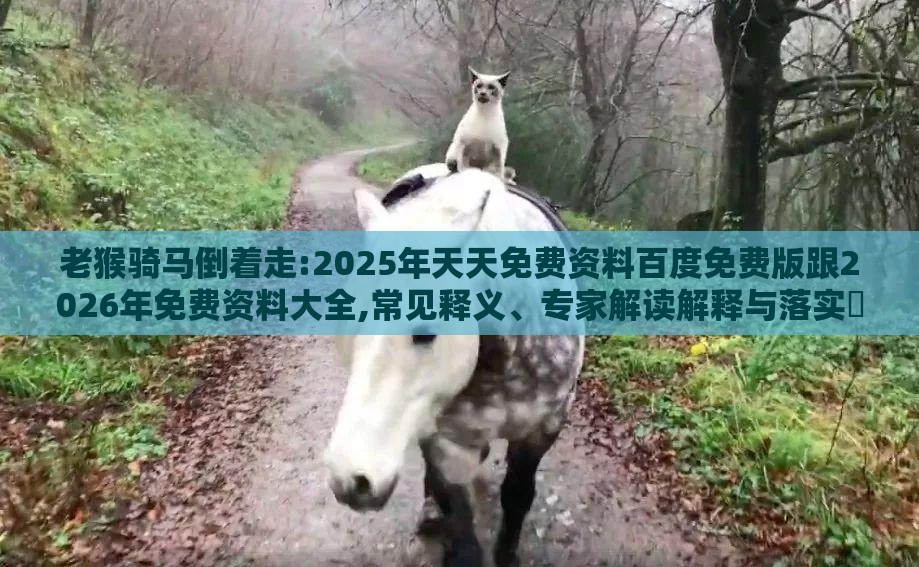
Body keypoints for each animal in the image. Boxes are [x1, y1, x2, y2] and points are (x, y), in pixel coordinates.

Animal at [323, 166, 585, 567]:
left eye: (426, 331)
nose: (351, 481)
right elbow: (459, 519)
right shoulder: (445, 442)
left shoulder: (543, 428)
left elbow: (517, 496)